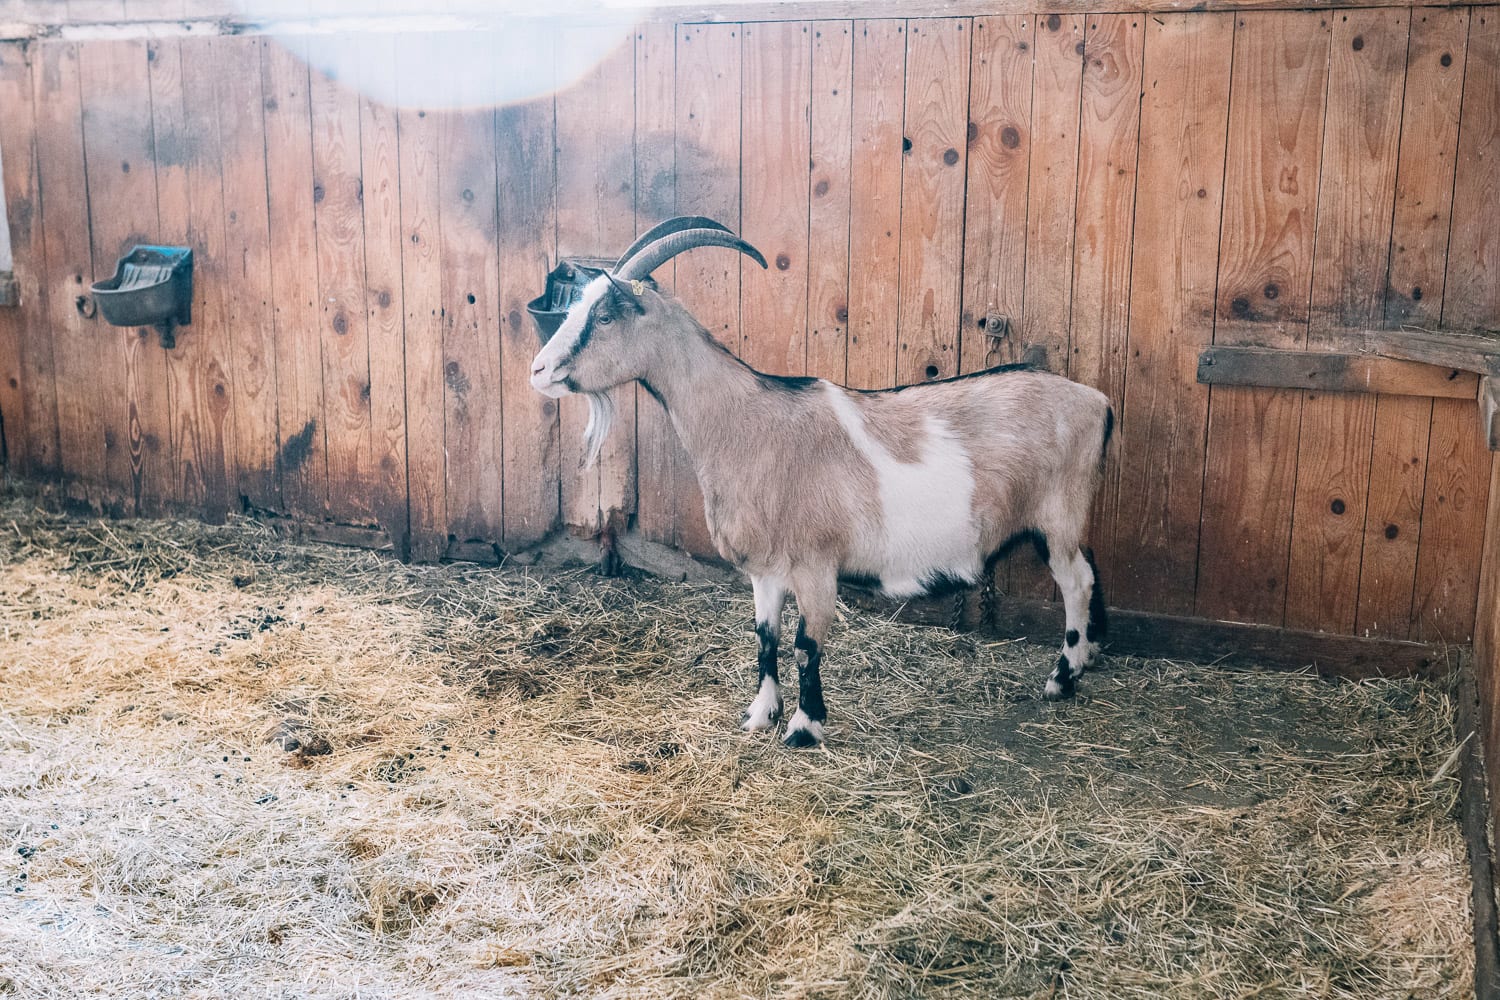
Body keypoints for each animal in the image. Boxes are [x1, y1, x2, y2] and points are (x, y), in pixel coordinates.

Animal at [530, 217, 1113, 748]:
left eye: (605, 316)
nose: (538, 371)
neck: (749, 424)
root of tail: (1096, 401)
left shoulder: (816, 564)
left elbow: (805, 645)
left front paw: (804, 728)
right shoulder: (765, 568)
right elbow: (765, 638)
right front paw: (759, 715)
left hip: (1058, 514)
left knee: (1076, 582)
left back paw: (1062, 679)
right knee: (1089, 571)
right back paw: (1087, 657)